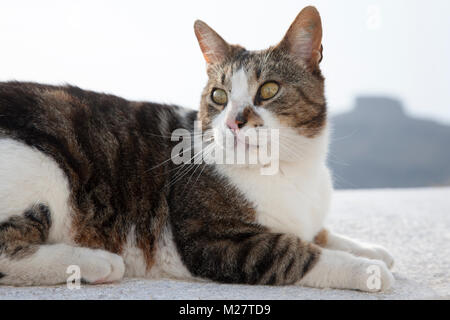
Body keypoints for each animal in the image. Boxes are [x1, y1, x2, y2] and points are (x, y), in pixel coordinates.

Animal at [0, 6, 394, 292]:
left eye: (268, 90)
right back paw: (95, 263)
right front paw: (368, 269)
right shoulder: (215, 241)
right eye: (219, 96)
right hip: (45, 167)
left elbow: (321, 234)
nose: (234, 121)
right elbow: (299, 253)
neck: (288, 169)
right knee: (6, 250)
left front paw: (371, 249)